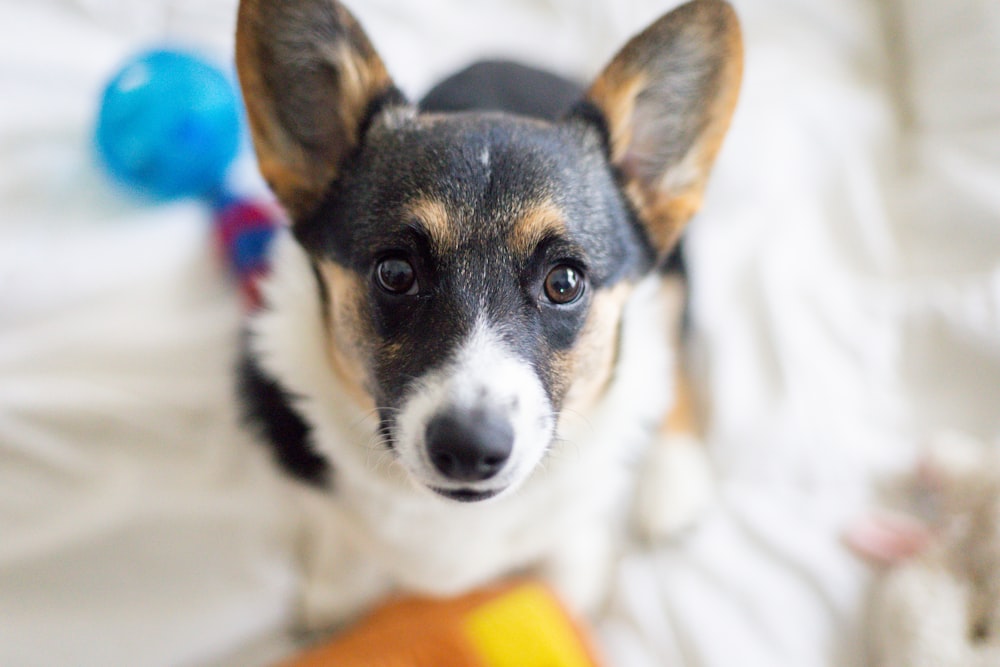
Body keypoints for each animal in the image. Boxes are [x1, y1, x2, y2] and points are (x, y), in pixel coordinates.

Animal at [234, 0, 744, 632]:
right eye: (395, 272)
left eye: (565, 282)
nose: (469, 448)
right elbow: (345, 540)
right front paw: (338, 591)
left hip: (671, 275)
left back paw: (672, 481)